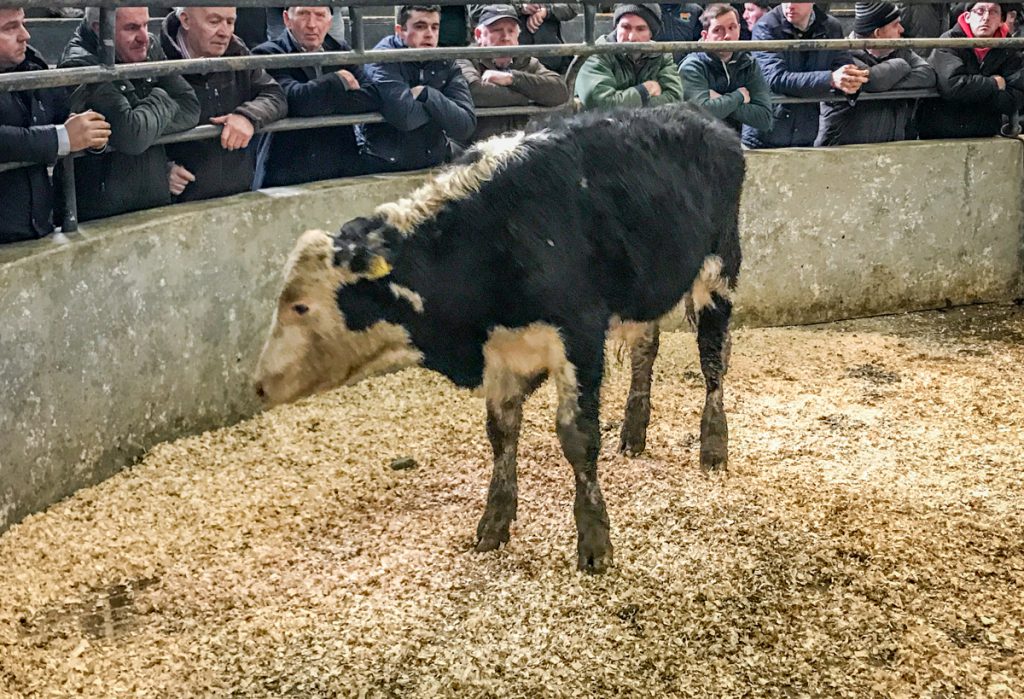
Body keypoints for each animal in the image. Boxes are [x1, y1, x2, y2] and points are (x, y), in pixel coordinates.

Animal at [253, 104, 744, 573]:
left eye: (301, 306)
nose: (258, 385)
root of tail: (704, 119)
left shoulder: (579, 335)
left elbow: (577, 435)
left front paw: (594, 541)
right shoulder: (503, 352)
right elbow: (501, 432)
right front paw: (494, 521)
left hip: (718, 270)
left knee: (713, 358)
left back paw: (713, 445)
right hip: (645, 292)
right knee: (646, 348)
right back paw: (634, 432)